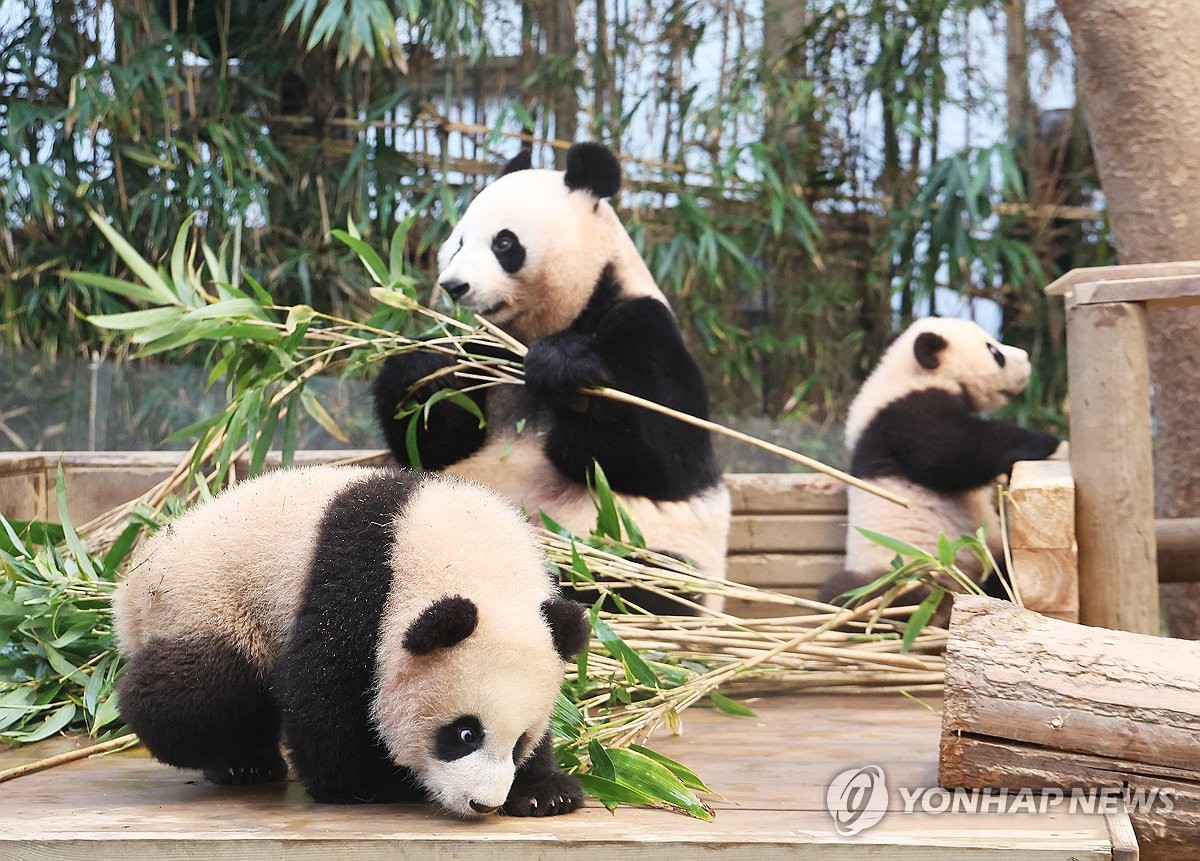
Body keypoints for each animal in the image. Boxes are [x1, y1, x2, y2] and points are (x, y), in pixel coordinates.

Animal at [114, 467, 592, 820]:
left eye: (519, 742)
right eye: (464, 733)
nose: (482, 804)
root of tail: (130, 587)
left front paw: (544, 791)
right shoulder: (360, 584)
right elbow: (321, 691)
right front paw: (374, 782)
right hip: (207, 603)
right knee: (201, 687)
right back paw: (239, 760)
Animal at [374, 141, 729, 599]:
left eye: (505, 242)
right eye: (459, 242)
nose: (454, 286)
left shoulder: (645, 327)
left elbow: (665, 457)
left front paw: (565, 374)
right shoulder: (487, 349)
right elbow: (435, 440)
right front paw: (420, 367)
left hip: (643, 551)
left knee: (638, 581)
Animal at [820, 321, 1065, 611]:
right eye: (994, 351)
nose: (1025, 357)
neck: (907, 373)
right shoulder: (904, 415)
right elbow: (949, 454)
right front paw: (1043, 440)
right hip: (900, 570)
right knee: (854, 593)